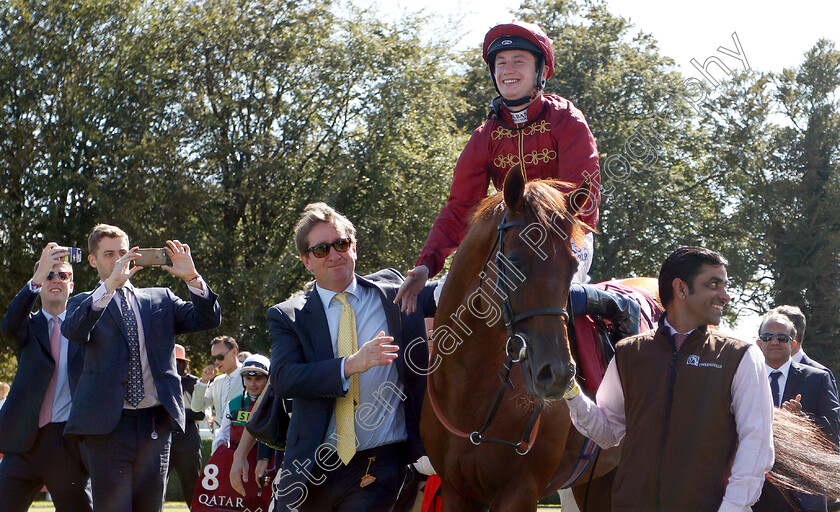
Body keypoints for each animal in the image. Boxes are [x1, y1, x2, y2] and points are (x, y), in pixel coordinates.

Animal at [420, 169, 648, 512]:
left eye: (572, 266)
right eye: (514, 261)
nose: (557, 374)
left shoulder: (520, 490)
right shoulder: (455, 491)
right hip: (598, 481)